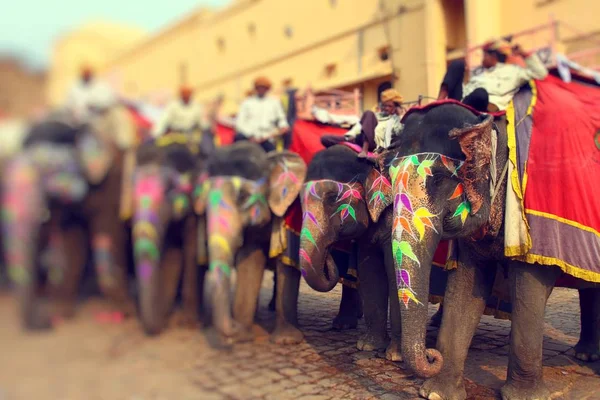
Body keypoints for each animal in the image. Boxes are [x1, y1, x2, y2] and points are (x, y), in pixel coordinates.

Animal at [0, 110, 135, 332]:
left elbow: (107, 234)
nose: (48, 323)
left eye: (49, 168)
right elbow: (72, 243)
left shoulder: (112, 182)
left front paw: (121, 312)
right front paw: (61, 313)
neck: (76, 125)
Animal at [131, 134, 206, 334]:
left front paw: (189, 324)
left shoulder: (195, 211)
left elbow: (191, 253)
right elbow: (172, 255)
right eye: (130, 193)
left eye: (169, 189)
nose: (163, 324)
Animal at [370, 102, 600, 400]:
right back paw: (585, 354)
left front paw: (525, 397)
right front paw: (436, 394)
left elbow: (529, 284)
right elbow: (465, 287)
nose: (431, 355)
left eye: (440, 180)